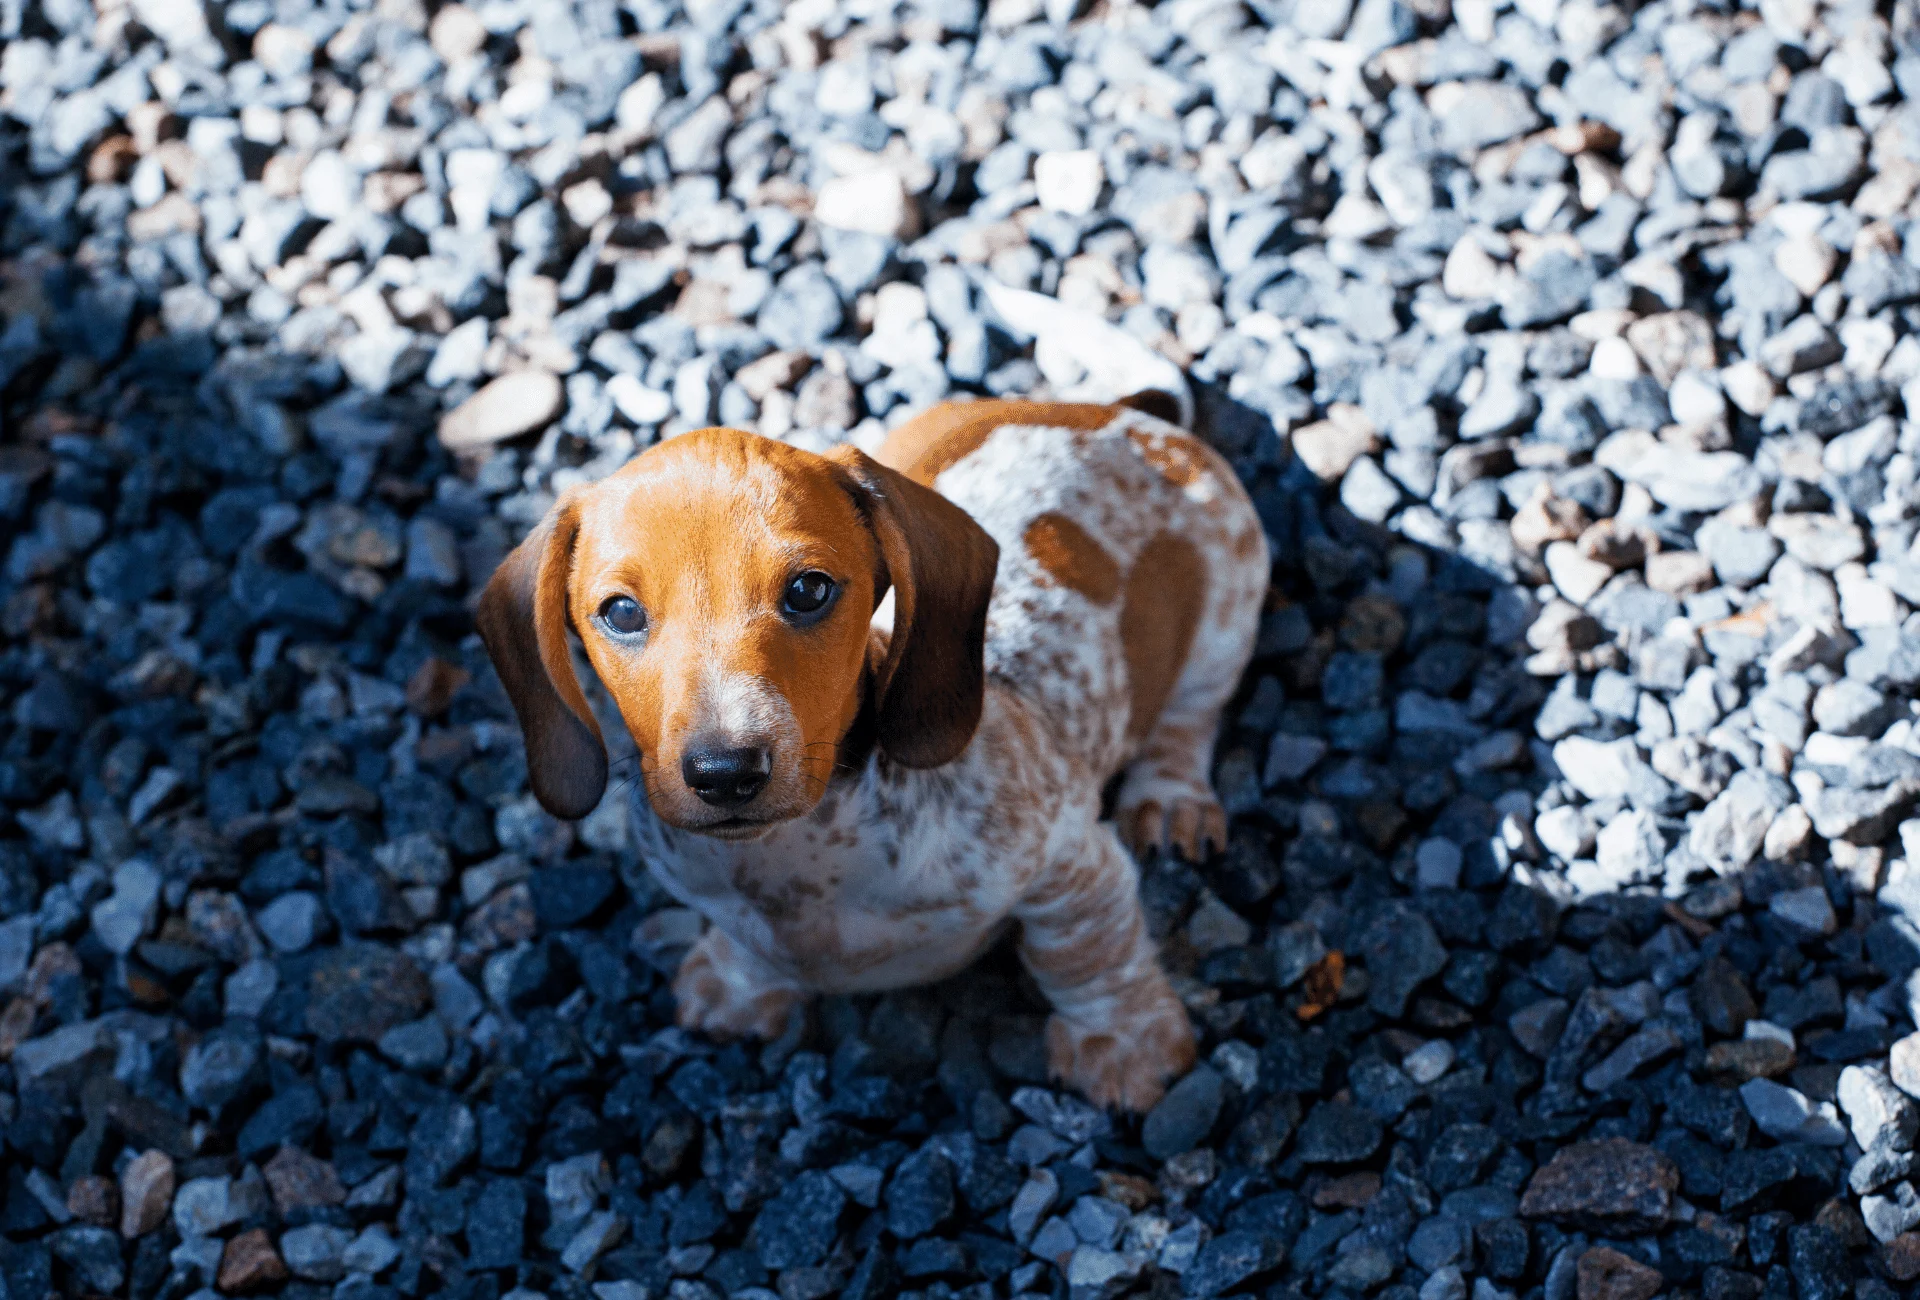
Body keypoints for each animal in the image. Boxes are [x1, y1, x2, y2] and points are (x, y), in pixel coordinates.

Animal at [480, 393, 1267, 1106]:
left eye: (809, 590)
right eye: (619, 612)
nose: (725, 772)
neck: (806, 860)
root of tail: (1120, 414)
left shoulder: (1071, 865)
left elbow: (1086, 957)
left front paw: (1124, 1045)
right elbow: (744, 941)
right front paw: (737, 986)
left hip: (1225, 620)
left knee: (1189, 720)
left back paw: (1171, 800)